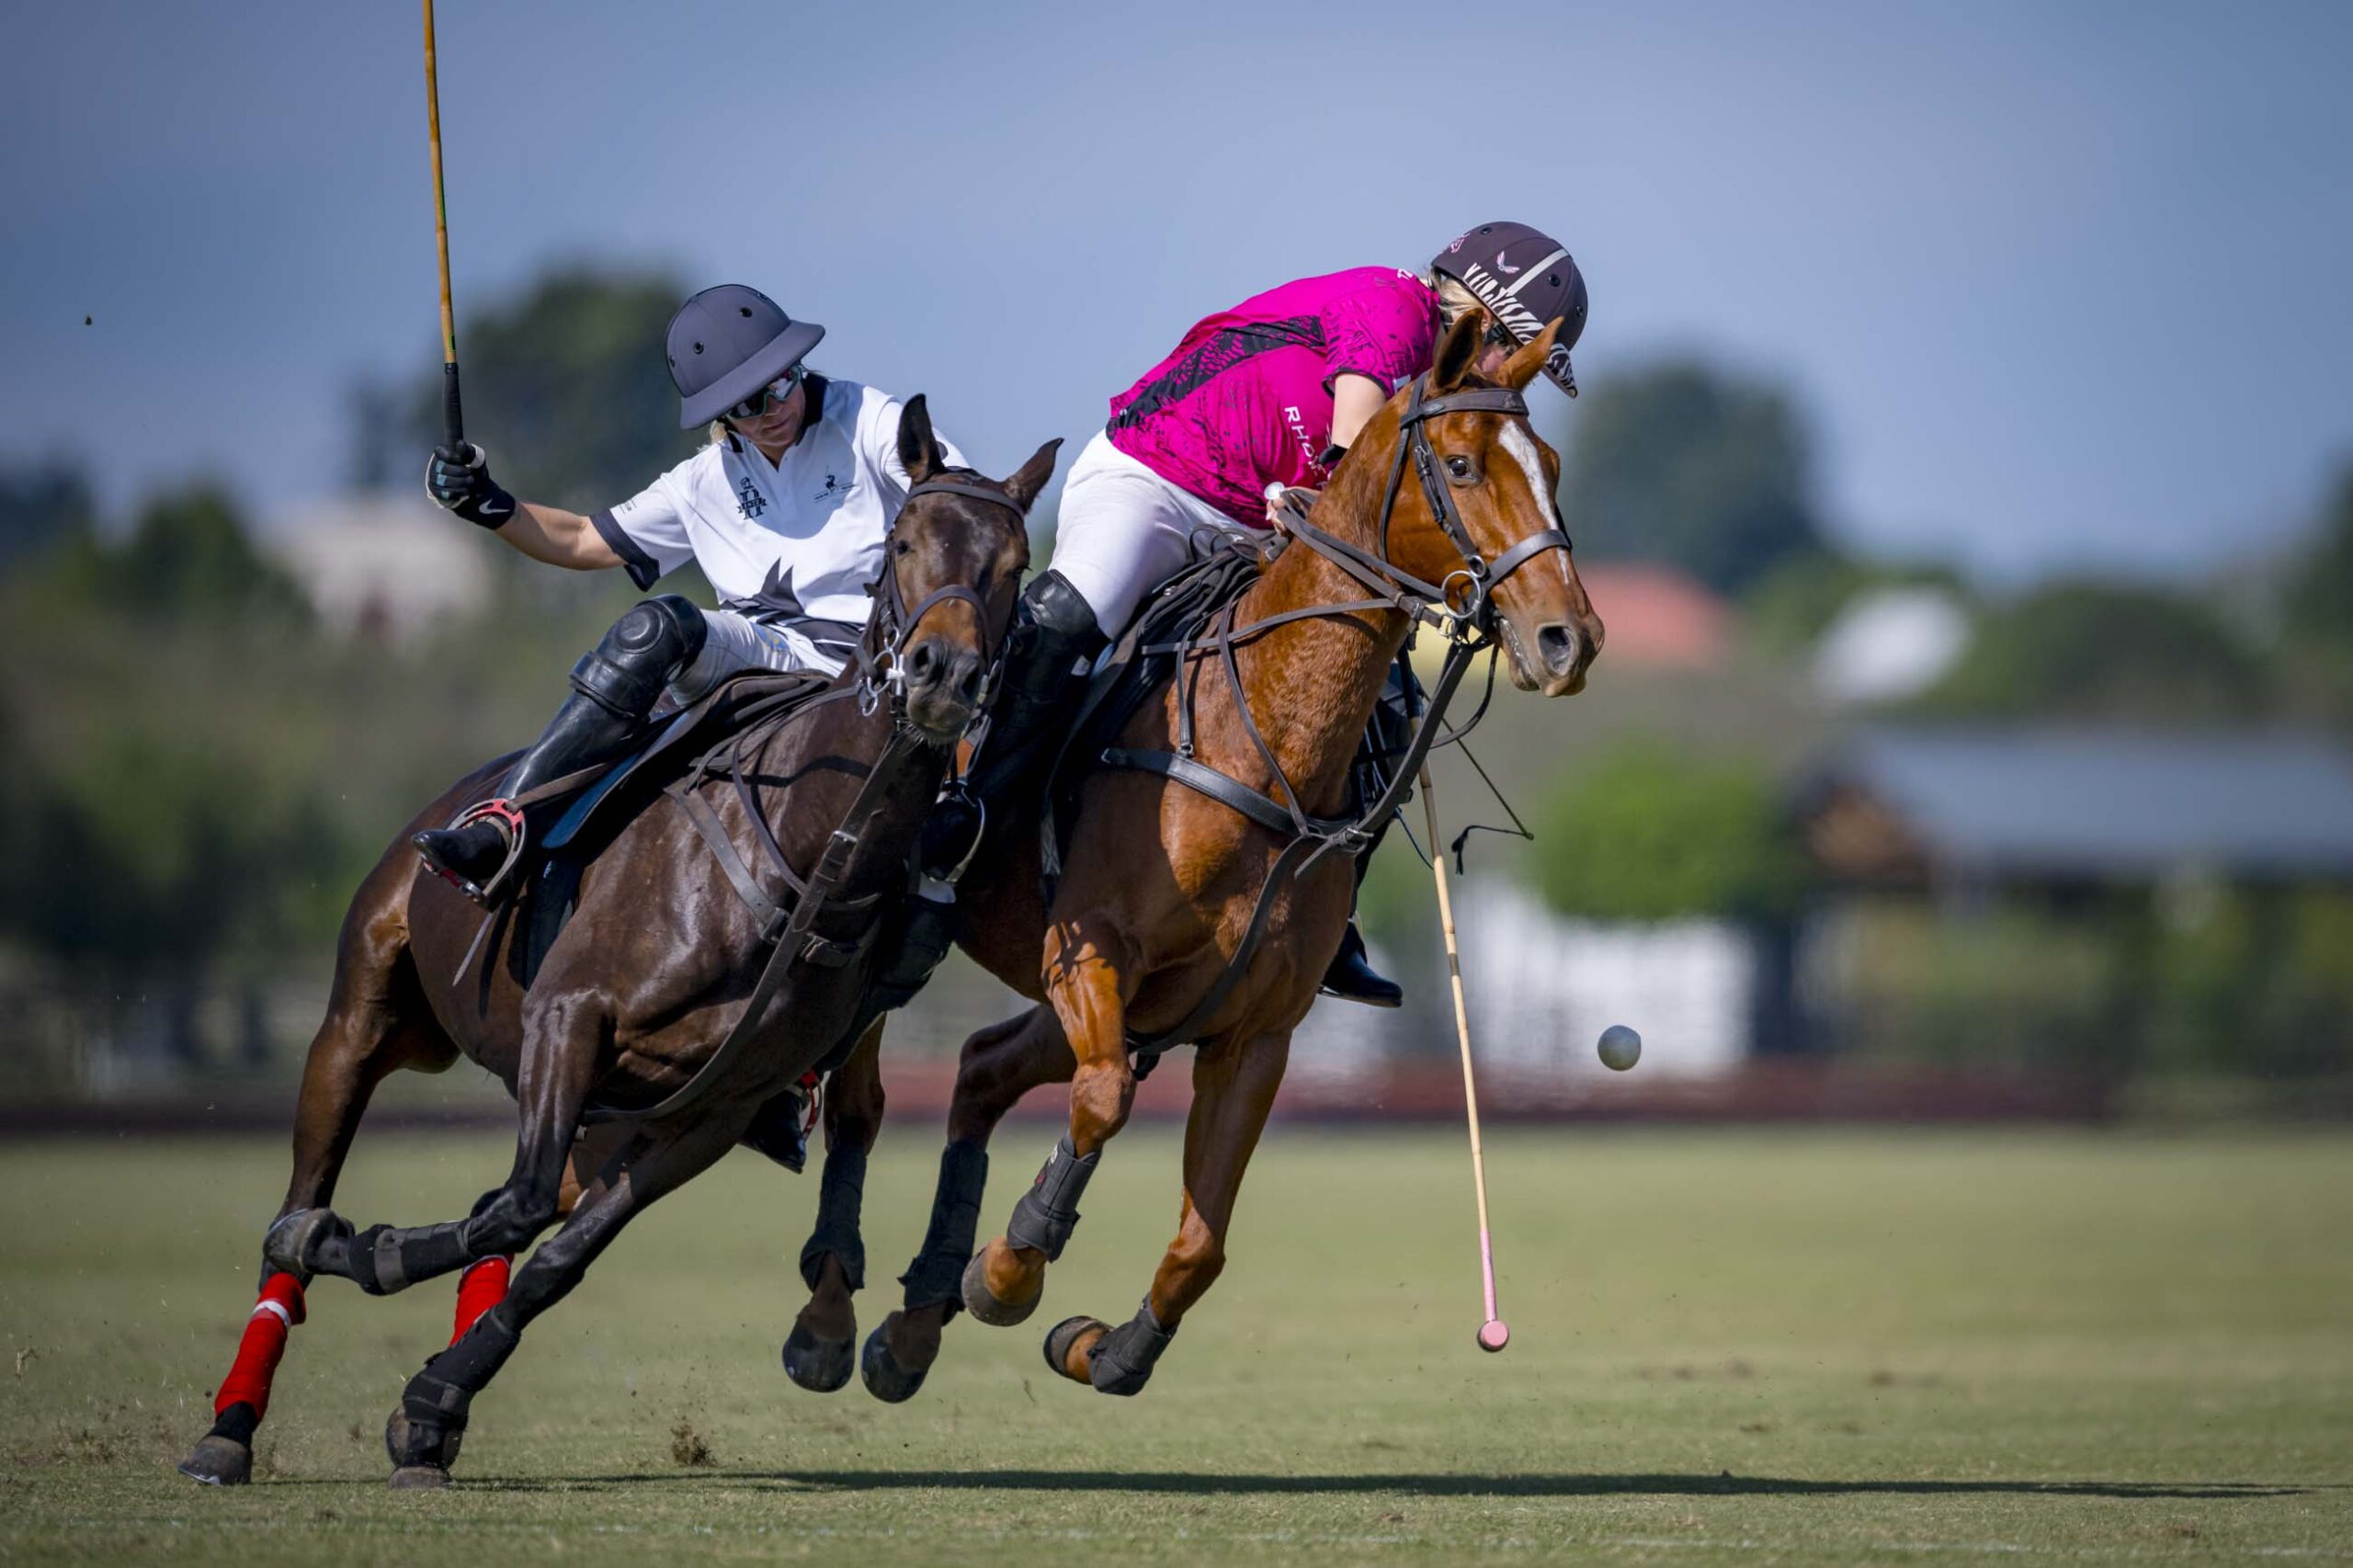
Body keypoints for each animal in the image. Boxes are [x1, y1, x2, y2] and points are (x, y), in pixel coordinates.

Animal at [176, 398, 1056, 1487]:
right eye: (900, 543)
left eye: (1015, 562)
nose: (942, 677)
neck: (805, 847)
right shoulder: (570, 1014)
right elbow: (503, 1207)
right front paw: (354, 1254)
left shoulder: (711, 1109)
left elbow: (549, 1249)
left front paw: (431, 1393)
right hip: (359, 1018)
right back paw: (230, 1419)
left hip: (599, 1106)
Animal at [801, 312, 1605, 1402]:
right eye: (1461, 464)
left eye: (1552, 466)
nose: (1570, 638)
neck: (1254, 741)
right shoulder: (1091, 953)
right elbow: (1103, 1102)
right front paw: (1010, 1269)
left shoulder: (1252, 1029)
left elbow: (1201, 1242)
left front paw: (1101, 1345)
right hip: (898, 950)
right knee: (864, 1094)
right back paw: (834, 1321)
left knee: (978, 1066)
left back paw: (910, 1329)